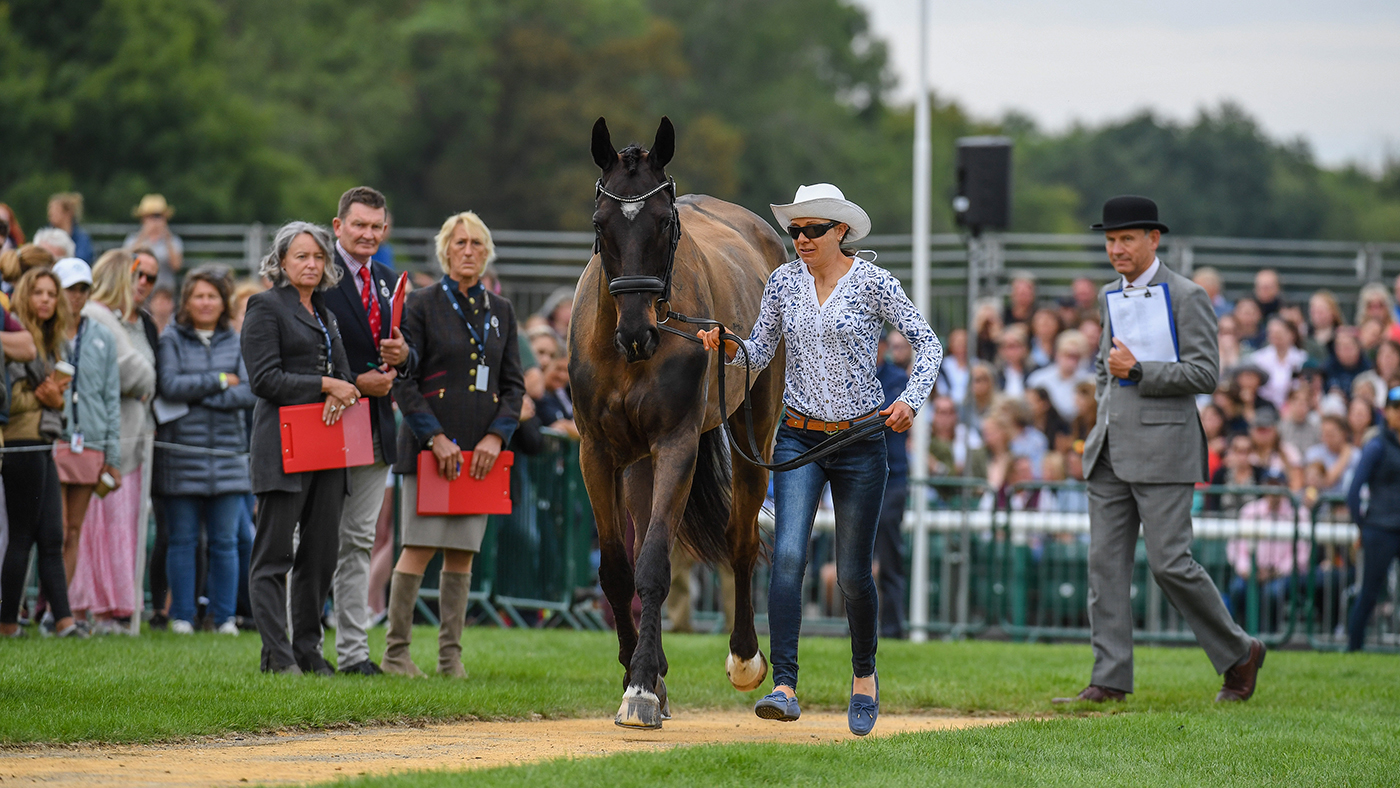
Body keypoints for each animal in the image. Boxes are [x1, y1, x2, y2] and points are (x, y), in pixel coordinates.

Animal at [569, 116, 788, 729]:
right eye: (600, 223)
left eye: (665, 223)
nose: (638, 331)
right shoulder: (597, 451)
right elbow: (618, 569)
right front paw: (640, 674)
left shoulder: (677, 444)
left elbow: (655, 564)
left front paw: (642, 685)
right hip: (638, 460)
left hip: (752, 434)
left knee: (741, 539)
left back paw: (744, 656)